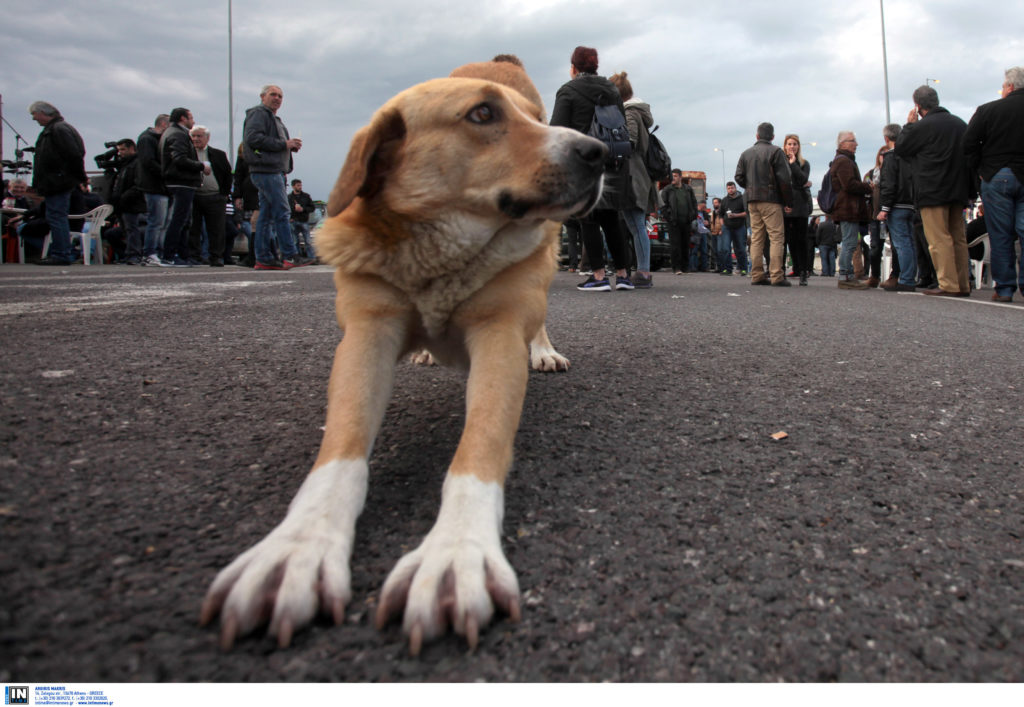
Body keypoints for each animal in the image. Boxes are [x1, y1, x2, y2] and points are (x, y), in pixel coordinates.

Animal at [199, 57, 606, 651]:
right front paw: (296, 547)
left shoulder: (500, 333)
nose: (601, 152)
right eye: (482, 114)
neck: (439, 254)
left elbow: (479, 448)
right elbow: (339, 451)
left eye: (536, 119)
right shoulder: (367, 333)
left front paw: (456, 551)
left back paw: (544, 350)